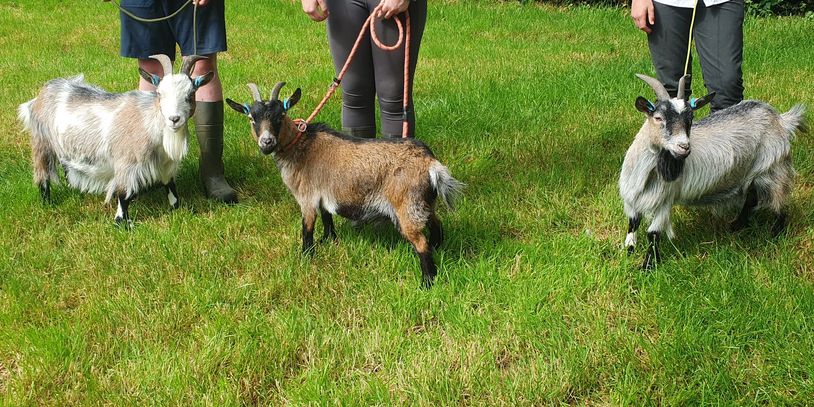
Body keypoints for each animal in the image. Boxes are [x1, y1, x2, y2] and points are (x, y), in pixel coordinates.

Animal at [17, 54, 213, 227]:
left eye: (190, 94)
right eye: (159, 94)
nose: (174, 119)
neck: (149, 121)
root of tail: (43, 93)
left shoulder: (165, 163)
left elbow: (170, 184)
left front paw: (176, 208)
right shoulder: (126, 163)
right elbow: (123, 193)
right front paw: (123, 223)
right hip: (41, 143)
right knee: (43, 177)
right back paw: (47, 203)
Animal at [226, 82, 463, 287]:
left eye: (280, 115)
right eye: (251, 118)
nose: (266, 142)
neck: (301, 145)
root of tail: (430, 162)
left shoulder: (307, 198)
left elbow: (307, 230)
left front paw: (306, 257)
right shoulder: (323, 194)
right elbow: (327, 217)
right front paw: (328, 240)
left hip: (406, 205)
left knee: (421, 242)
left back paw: (427, 282)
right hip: (424, 202)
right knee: (436, 223)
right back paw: (438, 249)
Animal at [619, 74, 806, 269]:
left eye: (690, 118)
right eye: (658, 118)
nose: (684, 147)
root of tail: (780, 118)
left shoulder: (664, 200)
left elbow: (653, 234)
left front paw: (647, 266)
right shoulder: (632, 197)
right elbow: (633, 224)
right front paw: (628, 251)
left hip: (773, 169)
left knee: (779, 202)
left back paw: (776, 234)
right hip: (751, 174)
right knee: (751, 199)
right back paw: (737, 225)